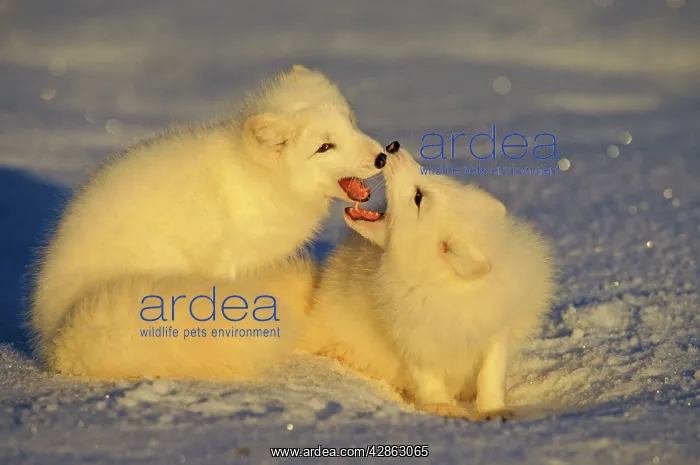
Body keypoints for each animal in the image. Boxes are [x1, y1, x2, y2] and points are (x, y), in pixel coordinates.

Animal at [29, 65, 387, 380]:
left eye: (350, 123)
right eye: (325, 147)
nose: (383, 157)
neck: (259, 179)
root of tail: (56, 337)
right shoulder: (226, 261)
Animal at [301, 141, 556, 420]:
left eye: (418, 198)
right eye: (432, 176)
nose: (393, 146)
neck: (448, 292)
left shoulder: (495, 331)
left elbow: (491, 375)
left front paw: (494, 410)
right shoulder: (411, 335)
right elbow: (428, 377)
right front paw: (442, 408)